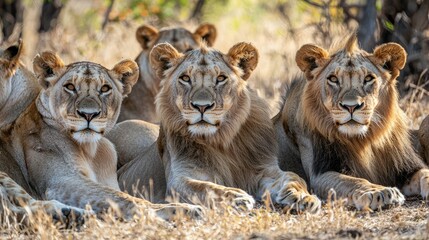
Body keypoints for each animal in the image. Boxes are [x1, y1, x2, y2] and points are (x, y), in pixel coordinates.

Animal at [0, 48, 201, 223]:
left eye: (104, 89)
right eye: (70, 87)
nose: (89, 114)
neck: (92, 150)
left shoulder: (109, 182)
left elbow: (121, 196)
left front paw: (183, 209)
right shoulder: (62, 181)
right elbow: (126, 199)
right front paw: (172, 213)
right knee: (17, 210)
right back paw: (70, 216)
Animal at [115, 41, 320, 214]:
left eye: (221, 78)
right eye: (185, 78)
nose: (202, 106)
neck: (221, 139)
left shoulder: (265, 169)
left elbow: (294, 177)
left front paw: (304, 197)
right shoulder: (179, 180)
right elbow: (207, 188)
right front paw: (237, 197)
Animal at [274, 34, 428, 211]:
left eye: (368, 78)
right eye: (333, 79)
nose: (351, 106)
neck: (364, 140)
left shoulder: (406, 167)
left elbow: (425, 173)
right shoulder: (321, 173)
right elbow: (353, 181)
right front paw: (378, 192)